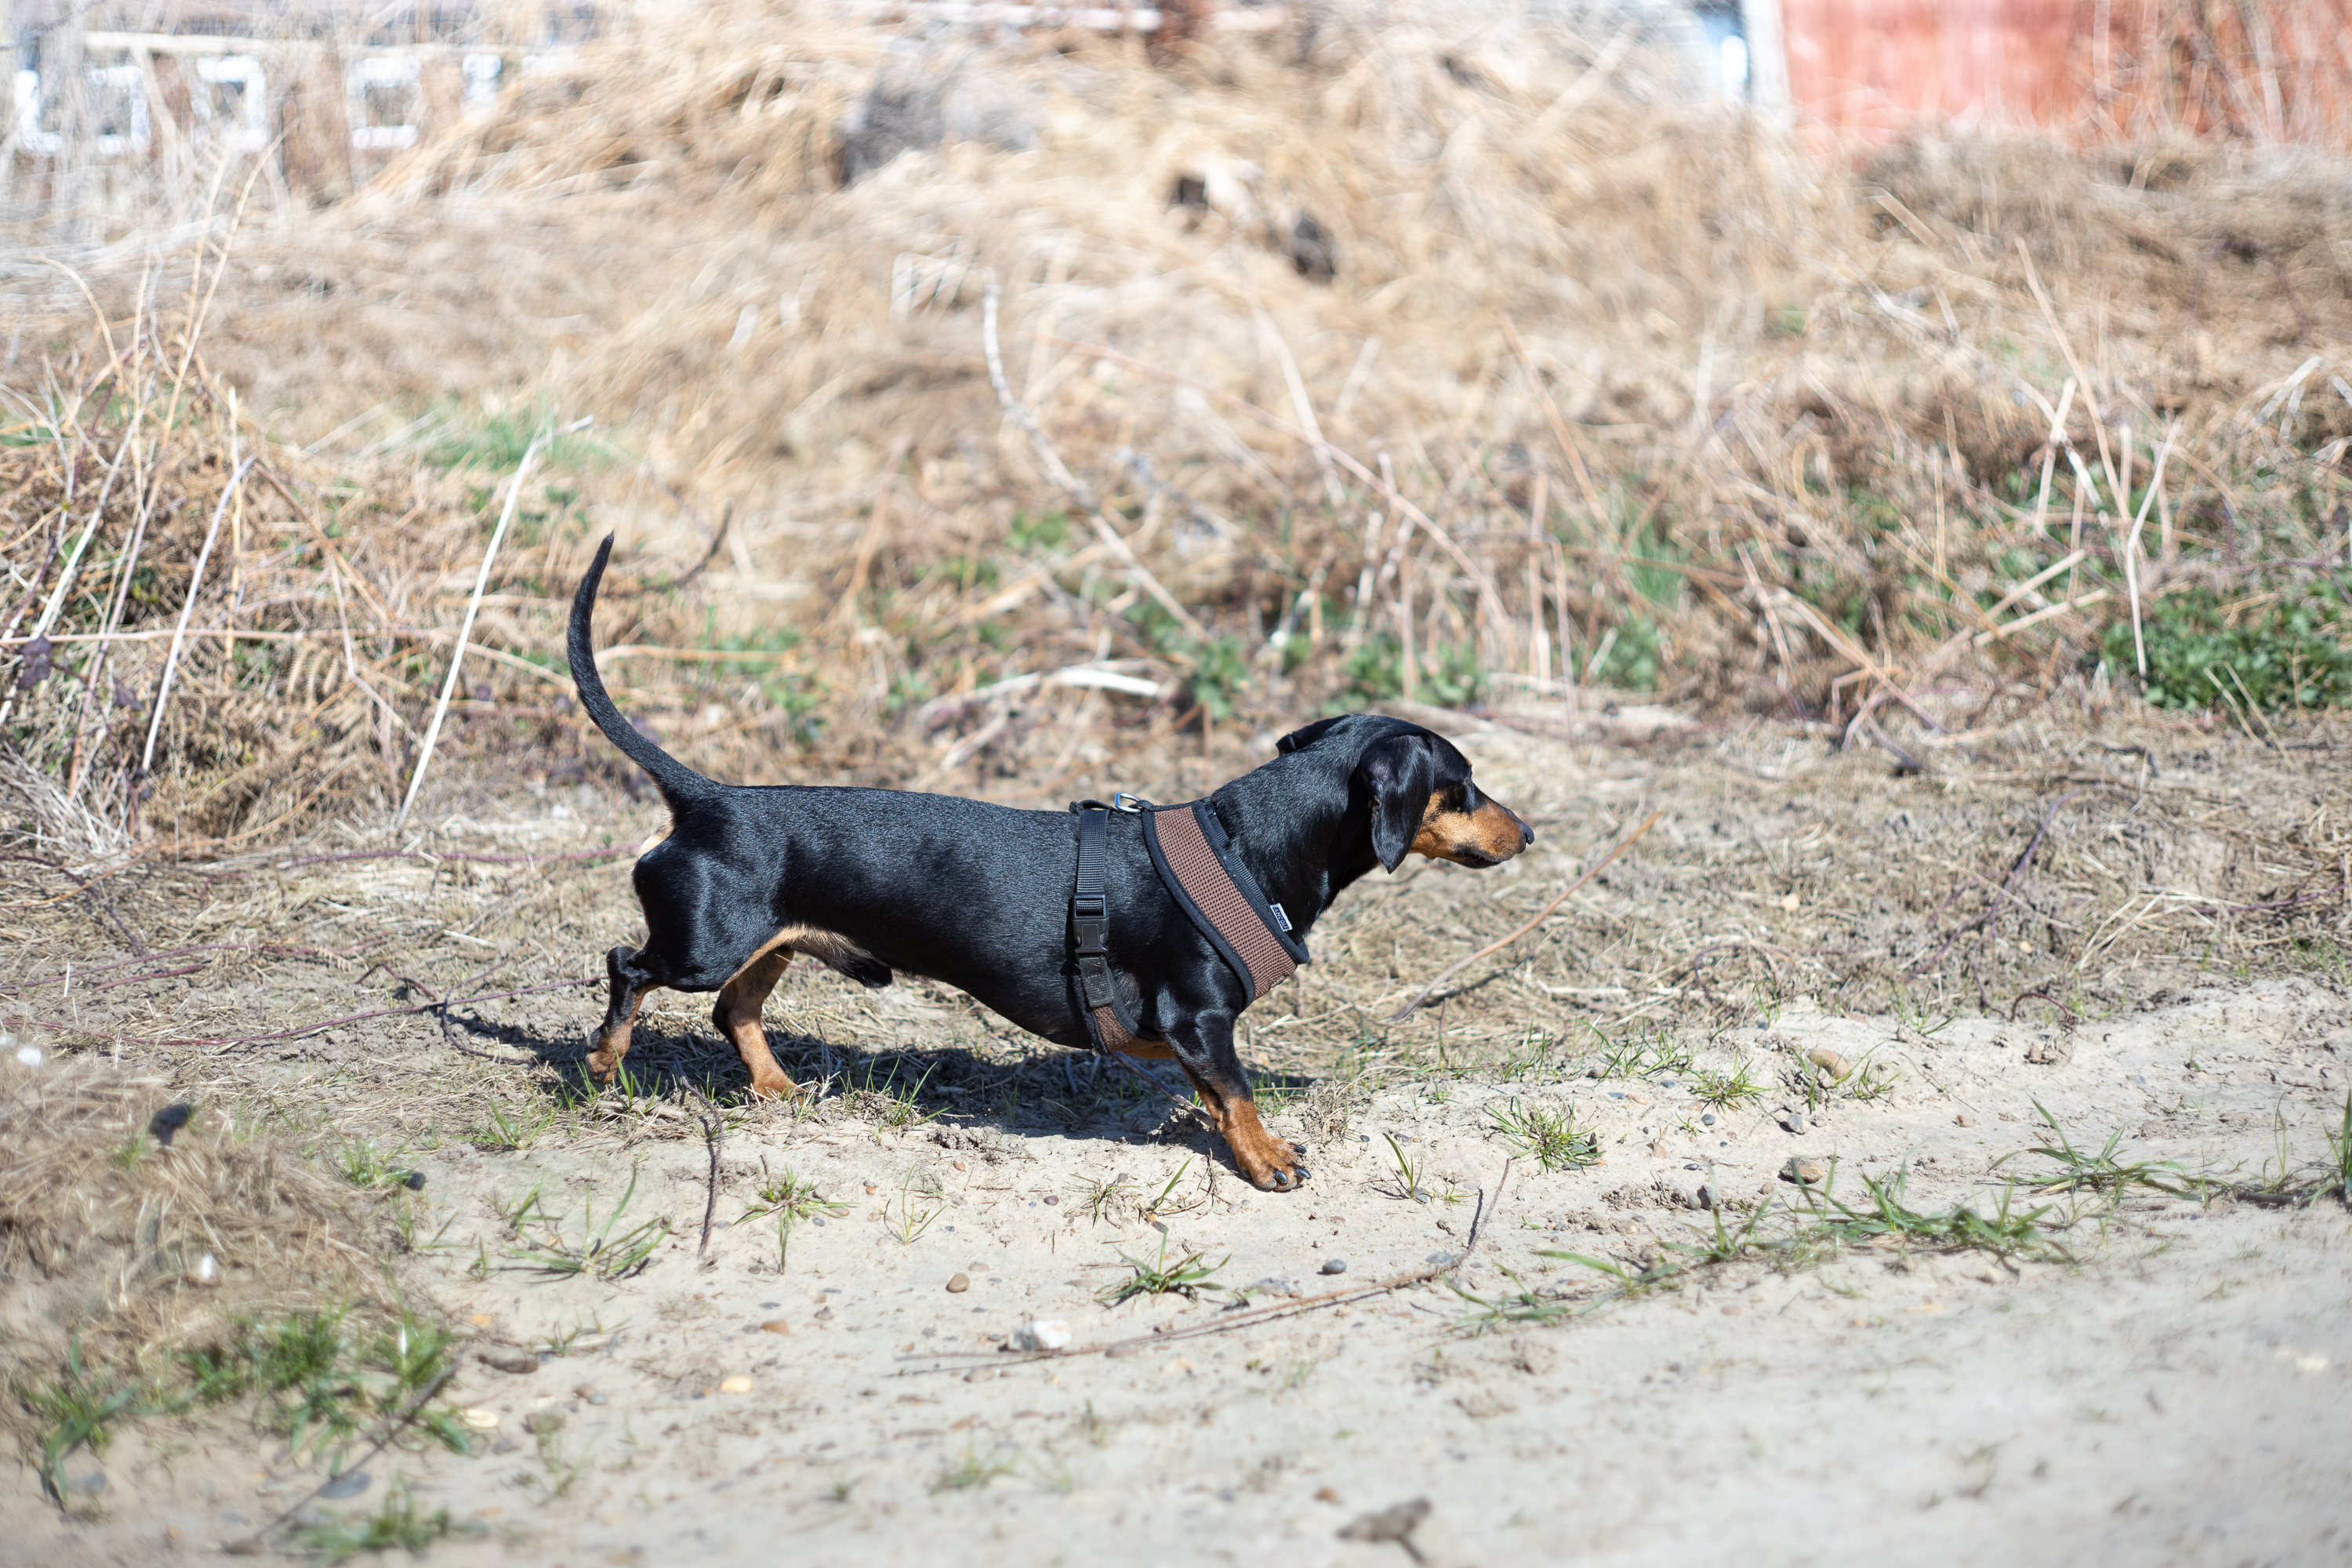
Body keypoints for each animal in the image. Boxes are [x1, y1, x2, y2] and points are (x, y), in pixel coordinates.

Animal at [562, 540, 1534, 1189]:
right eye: (1463, 785)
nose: (1527, 832)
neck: (1247, 844)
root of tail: (708, 794)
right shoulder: (1200, 1016)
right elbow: (1236, 1091)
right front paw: (1267, 1157)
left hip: (770, 942)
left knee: (734, 1010)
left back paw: (772, 1085)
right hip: (702, 944)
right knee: (628, 967)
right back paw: (604, 1061)